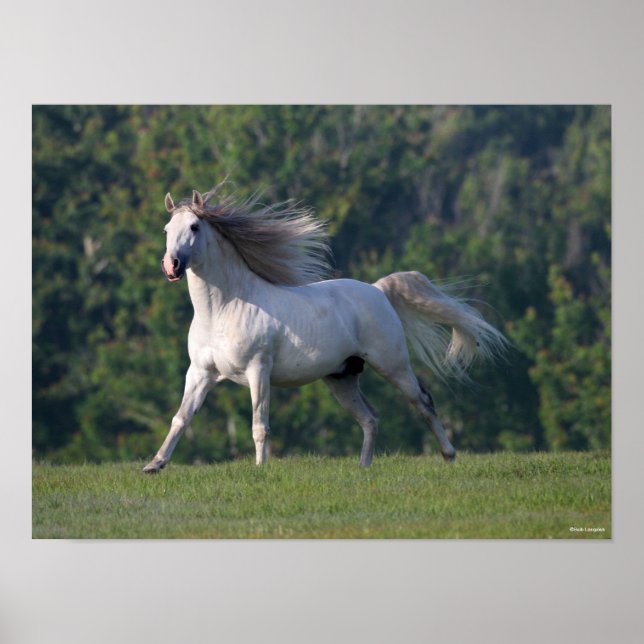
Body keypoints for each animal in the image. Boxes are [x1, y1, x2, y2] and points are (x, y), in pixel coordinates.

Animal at [143, 186, 508, 473]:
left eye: (194, 226)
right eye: (165, 229)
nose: (172, 266)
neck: (224, 310)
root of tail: (378, 290)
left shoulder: (258, 370)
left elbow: (260, 425)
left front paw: (260, 469)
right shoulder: (200, 372)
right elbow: (181, 418)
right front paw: (154, 465)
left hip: (392, 364)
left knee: (423, 402)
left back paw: (449, 455)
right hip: (341, 377)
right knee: (370, 418)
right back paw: (363, 468)